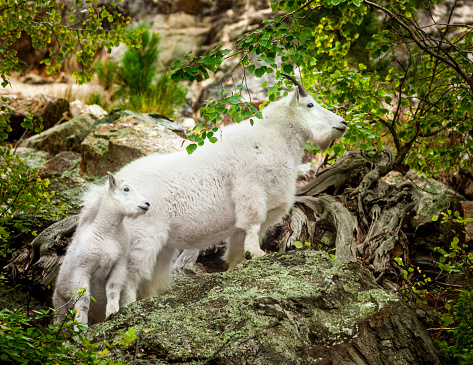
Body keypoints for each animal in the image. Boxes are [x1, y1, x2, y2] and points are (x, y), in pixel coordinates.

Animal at [51, 172, 148, 326]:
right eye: (126, 189)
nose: (146, 204)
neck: (107, 234)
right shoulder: (83, 269)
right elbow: (84, 300)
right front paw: (81, 327)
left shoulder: (118, 265)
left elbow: (113, 290)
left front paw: (111, 313)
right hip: (60, 305)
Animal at [112, 73, 344, 304]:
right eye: (310, 104)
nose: (343, 123)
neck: (274, 138)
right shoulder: (250, 189)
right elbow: (252, 224)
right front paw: (256, 253)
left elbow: (239, 245)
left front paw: (240, 264)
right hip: (142, 236)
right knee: (130, 277)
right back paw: (129, 304)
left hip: (163, 247)